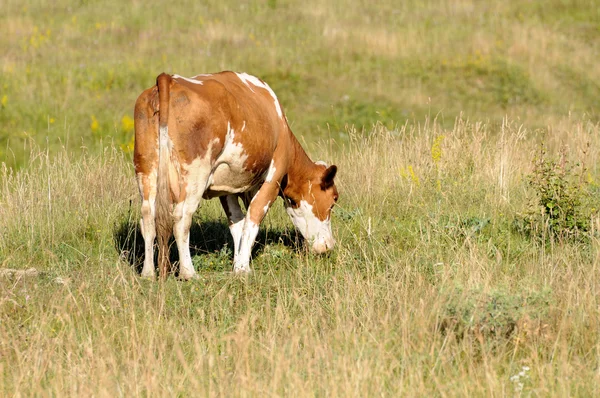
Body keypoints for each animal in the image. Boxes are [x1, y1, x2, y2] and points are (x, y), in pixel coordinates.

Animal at [135, 70, 338, 278]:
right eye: (332, 202)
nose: (328, 246)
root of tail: (169, 79)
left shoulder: (226, 187)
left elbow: (237, 223)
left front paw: (238, 262)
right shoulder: (273, 179)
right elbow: (253, 218)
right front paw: (242, 268)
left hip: (146, 168)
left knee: (147, 216)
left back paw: (148, 272)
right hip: (195, 175)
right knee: (182, 217)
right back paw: (189, 273)